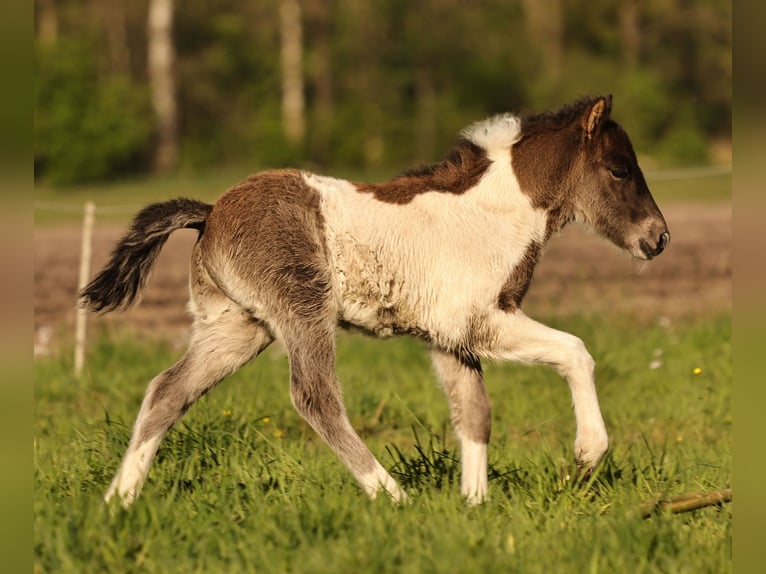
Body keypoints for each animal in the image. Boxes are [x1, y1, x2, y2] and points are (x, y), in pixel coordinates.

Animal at [81, 95, 670, 506]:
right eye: (619, 169)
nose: (659, 238)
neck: (493, 215)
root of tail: (209, 212)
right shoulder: (481, 320)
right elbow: (575, 350)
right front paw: (588, 453)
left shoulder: (448, 337)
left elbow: (474, 413)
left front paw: (474, 505)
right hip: (302, 308)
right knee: (315, 397)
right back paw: (391, 494)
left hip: (236, 328)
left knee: (167, 391)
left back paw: (118, 500)